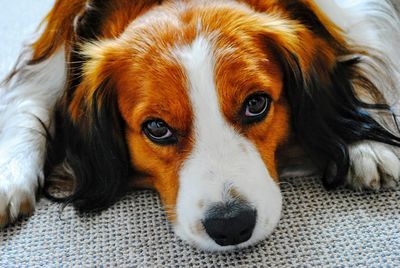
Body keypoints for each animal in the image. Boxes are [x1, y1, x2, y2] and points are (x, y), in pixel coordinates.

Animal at [0, 0, 400, 251]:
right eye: (157, 128)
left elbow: (362, 57)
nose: (231, 225)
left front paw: (366, 144)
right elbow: (29, 102)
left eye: (256, 104)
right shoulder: (51, 46)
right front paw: (11, 174)